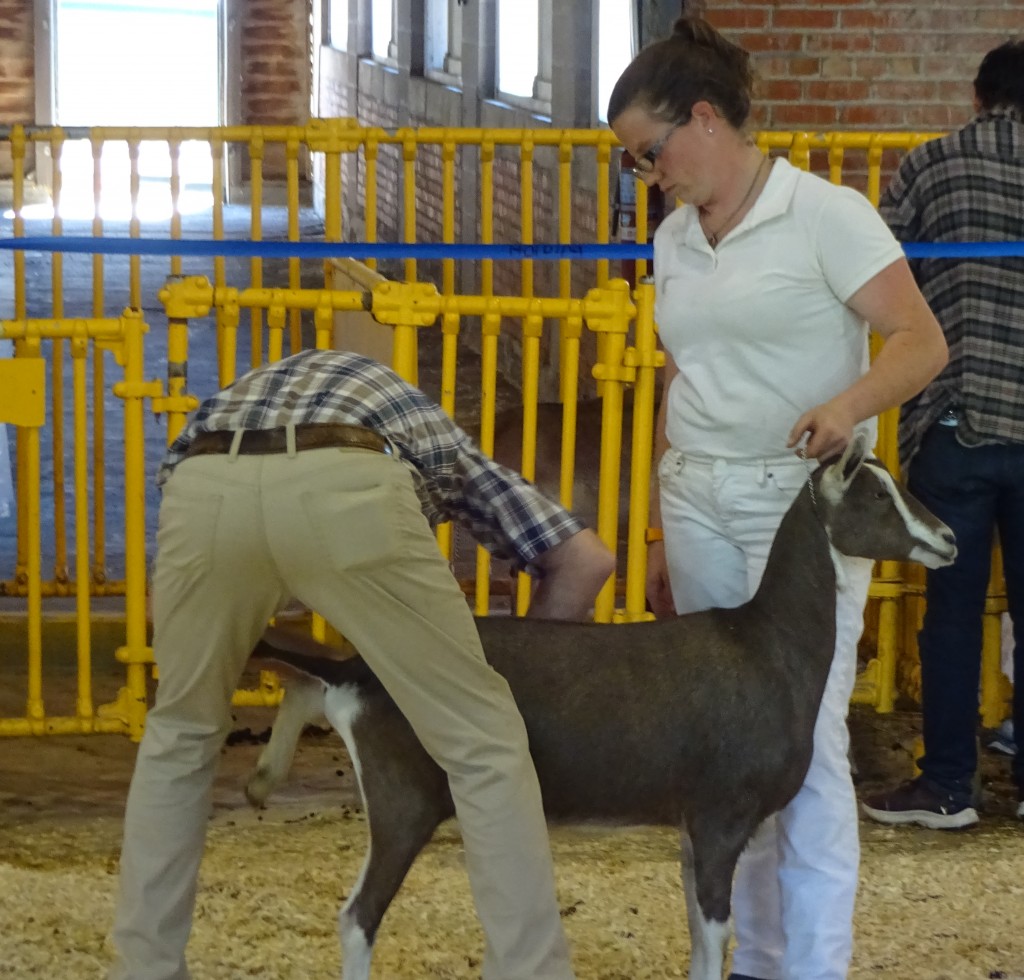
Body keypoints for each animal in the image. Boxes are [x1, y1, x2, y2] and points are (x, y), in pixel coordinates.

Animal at [243, 436, 954, 978]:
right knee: (357, 918)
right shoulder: (722, 814)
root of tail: (359, 673)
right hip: (404, 800)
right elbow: (715, 937)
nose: (947, 539)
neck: (769, 645)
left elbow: (699, 932)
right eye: (876, 495)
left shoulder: (693, 821)